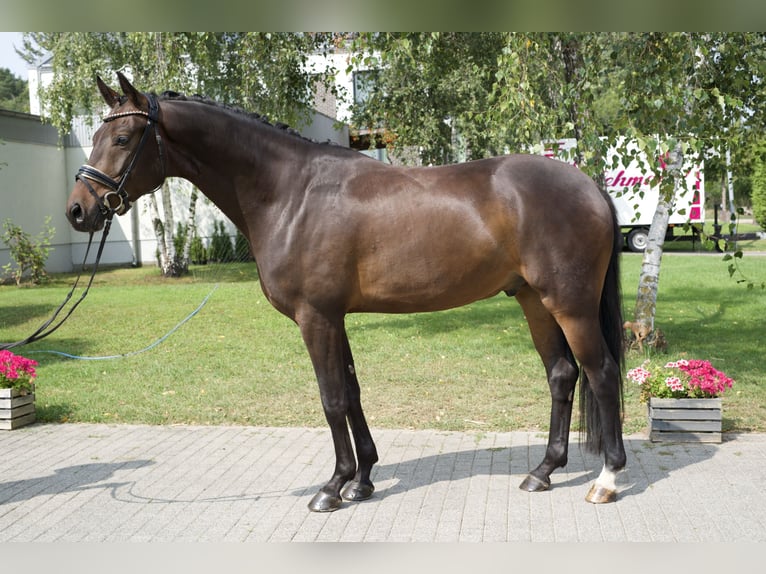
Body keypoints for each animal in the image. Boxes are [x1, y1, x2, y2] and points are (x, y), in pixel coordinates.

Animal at [67, 73, 632, 512]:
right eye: (95, 134)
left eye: (123, 138)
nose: (78, 210)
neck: (290, 192)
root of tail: (588, 184)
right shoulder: (335, 317)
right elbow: (353, 393)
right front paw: (362, 481)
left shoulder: (315, 317)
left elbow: (331, 397)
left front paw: (332, 486)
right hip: (533, 300)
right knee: (561, 374)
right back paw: (543, 471)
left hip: (571, 304)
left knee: (601, 373)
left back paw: (606, 480)